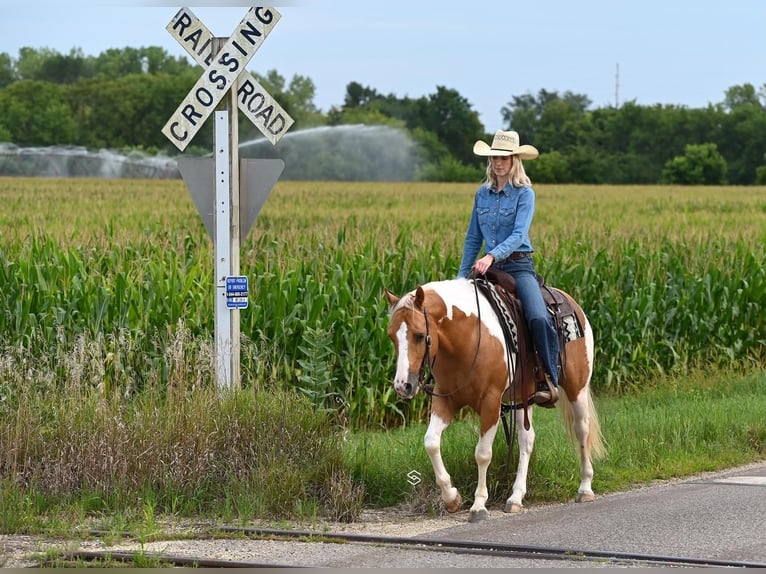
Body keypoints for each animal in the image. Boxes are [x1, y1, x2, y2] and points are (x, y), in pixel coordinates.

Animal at [384, 276, 608, 524]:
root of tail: (571, 302)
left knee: (582, 430)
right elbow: (431, 442)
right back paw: (515, 498)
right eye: (391, 336)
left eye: (419, 335)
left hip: (577, 387)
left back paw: (585, 488)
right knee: (526, 440)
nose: (402, 386)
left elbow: (482, 454)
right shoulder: (445, 400)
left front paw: (479, 505)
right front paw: (451, 498)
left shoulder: (490, 403)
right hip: (523, 397)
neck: (468, 335)